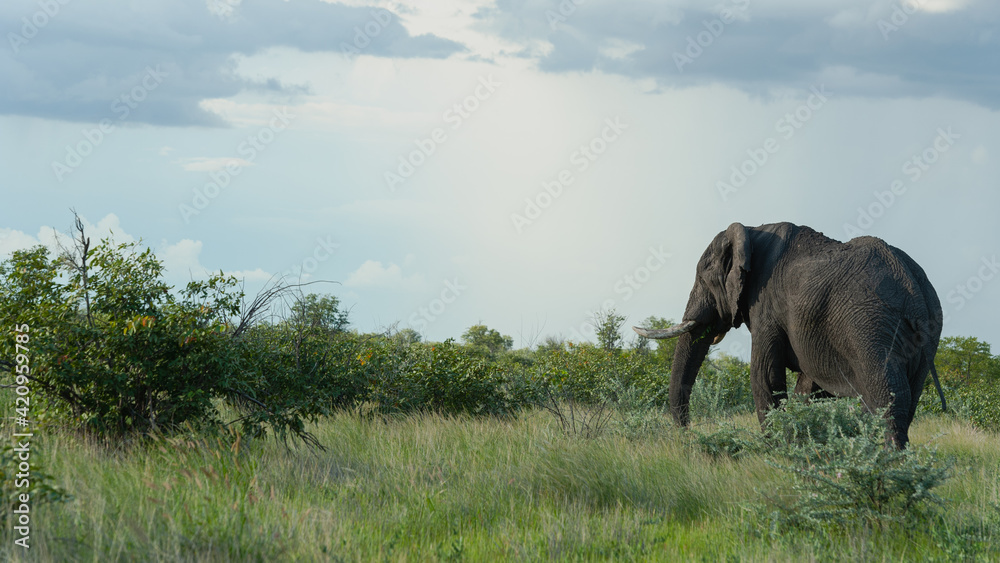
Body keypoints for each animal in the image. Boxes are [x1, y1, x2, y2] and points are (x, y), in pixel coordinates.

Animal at [633, 222, 946, 447]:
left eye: (702, 279)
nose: (688, 434)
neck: (751, 232)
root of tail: (915, 291)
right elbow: (808, 385)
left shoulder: (766, 304)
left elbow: (764, 374)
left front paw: (776, 450)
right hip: (926, 333)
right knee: (907, 398)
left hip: (870, 326)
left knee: (887, 395)